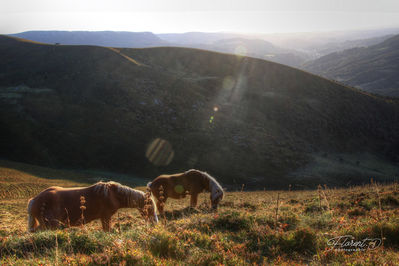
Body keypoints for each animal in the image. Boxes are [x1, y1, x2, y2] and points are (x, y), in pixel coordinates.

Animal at [27, 181, 159, 233]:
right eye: (151, 207)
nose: (155, 223)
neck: (113, 194)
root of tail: (33, 200)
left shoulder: (105, 217)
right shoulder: (105, 217)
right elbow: (107, 231)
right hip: (50, 224)